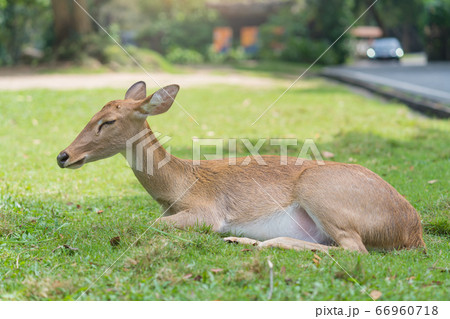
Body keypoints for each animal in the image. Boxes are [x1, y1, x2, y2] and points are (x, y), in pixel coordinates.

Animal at [56, 82, 426, 255]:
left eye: (108, 121)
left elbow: (150, 225)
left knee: (354, 248)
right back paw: (241, 240)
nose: (63, 155)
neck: (179, 186)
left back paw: (257, 242)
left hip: (321, 191)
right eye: (93, 113)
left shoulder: (207, 212)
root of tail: (413, 232)